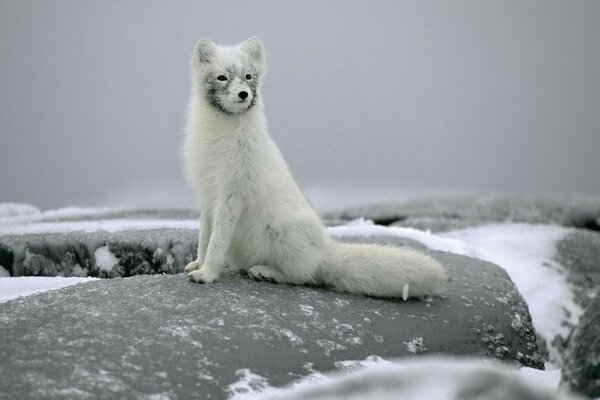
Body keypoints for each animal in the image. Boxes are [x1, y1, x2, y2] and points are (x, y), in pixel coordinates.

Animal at [183, 37, 446, 298]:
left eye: (248, 76)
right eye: (222, 77)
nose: (243, 94)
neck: (220, 137)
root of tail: (323, 251)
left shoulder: (232, 195)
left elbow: (217, 241)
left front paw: (207, 274)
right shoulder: (207, 196)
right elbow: (204, 236)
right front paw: (198, 264)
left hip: (281, 233)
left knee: (302, 276)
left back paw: (267, 272)